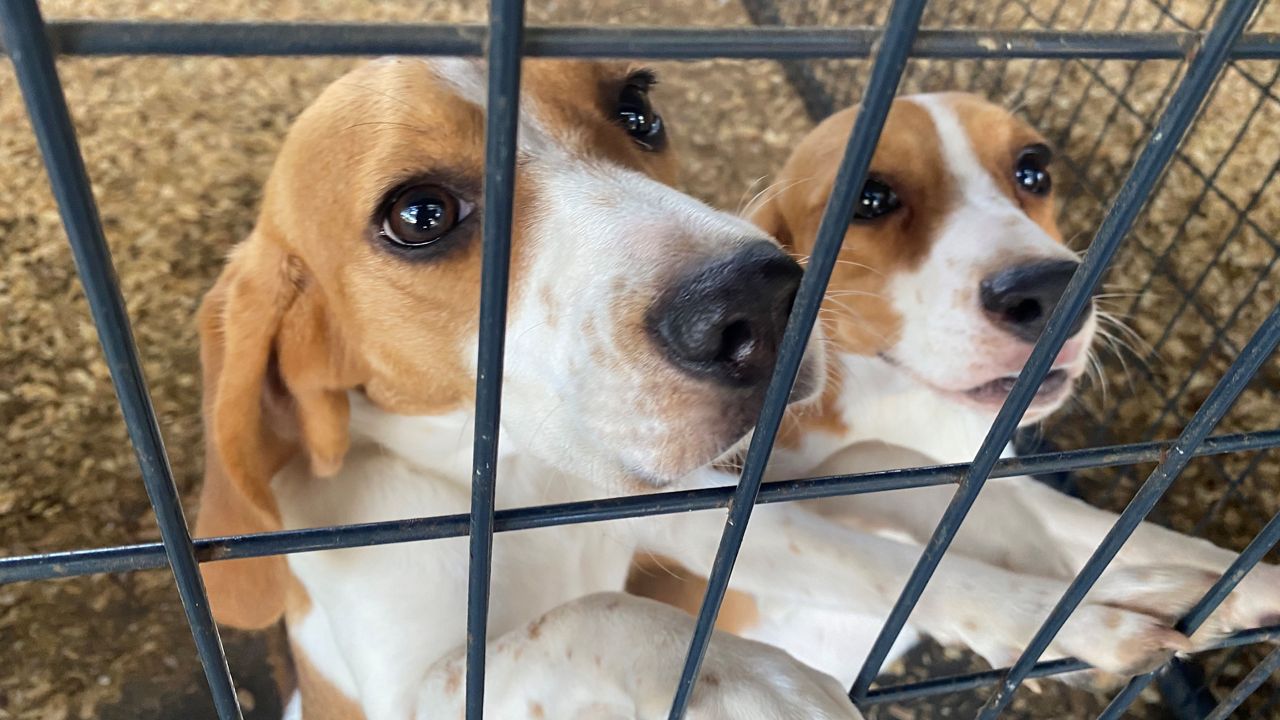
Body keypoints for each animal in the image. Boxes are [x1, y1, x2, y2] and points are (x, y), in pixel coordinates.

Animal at [629, 94, 1280, 681]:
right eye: (870, 199)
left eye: (1033, 169)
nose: (1052, 291)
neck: (913, 406)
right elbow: (870, 479)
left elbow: (1095, 521)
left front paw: (1250, 580)